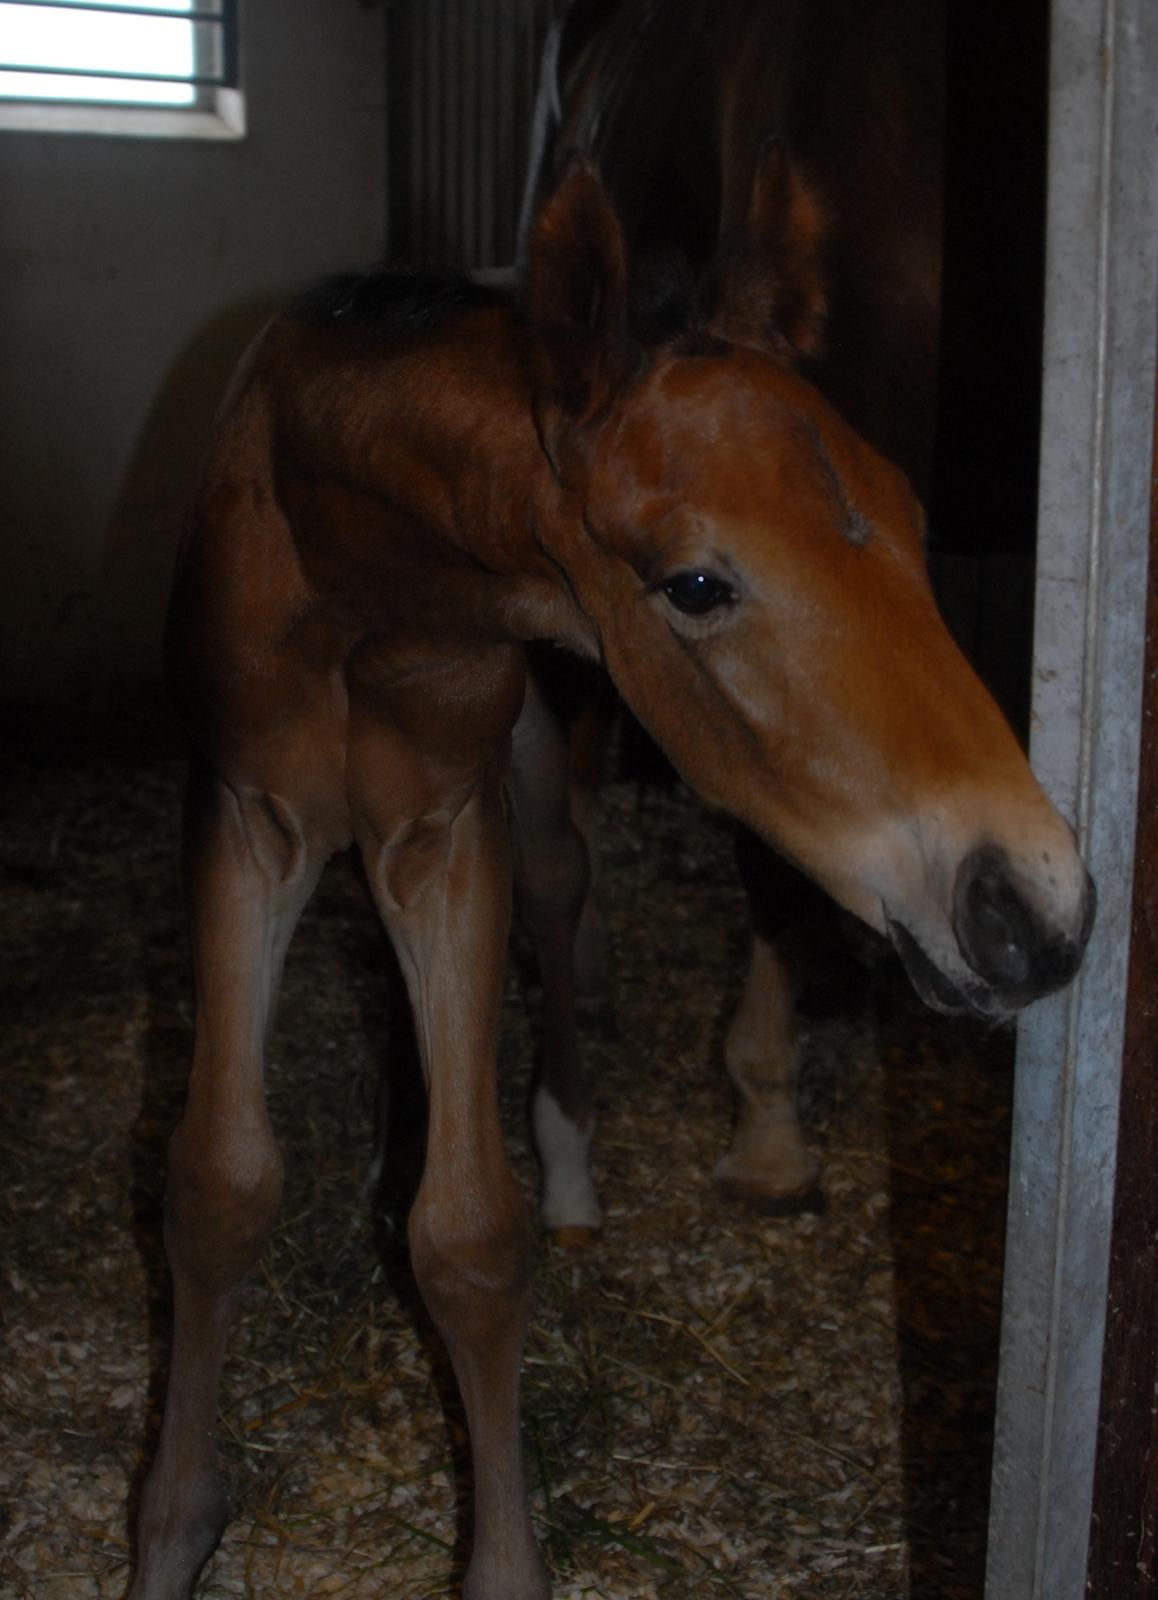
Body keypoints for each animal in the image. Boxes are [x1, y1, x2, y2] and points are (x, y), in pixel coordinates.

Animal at [131, 152, 1087, 1600]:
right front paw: (171, 1533)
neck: (349, 559)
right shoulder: (245, 816)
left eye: (915, 527)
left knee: (565, 902)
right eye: (693, 582)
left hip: (535, 770)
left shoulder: (446, 826)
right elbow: (216, 1184)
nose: (1036, 908)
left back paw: (569, 1170)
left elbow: (471, 1234)